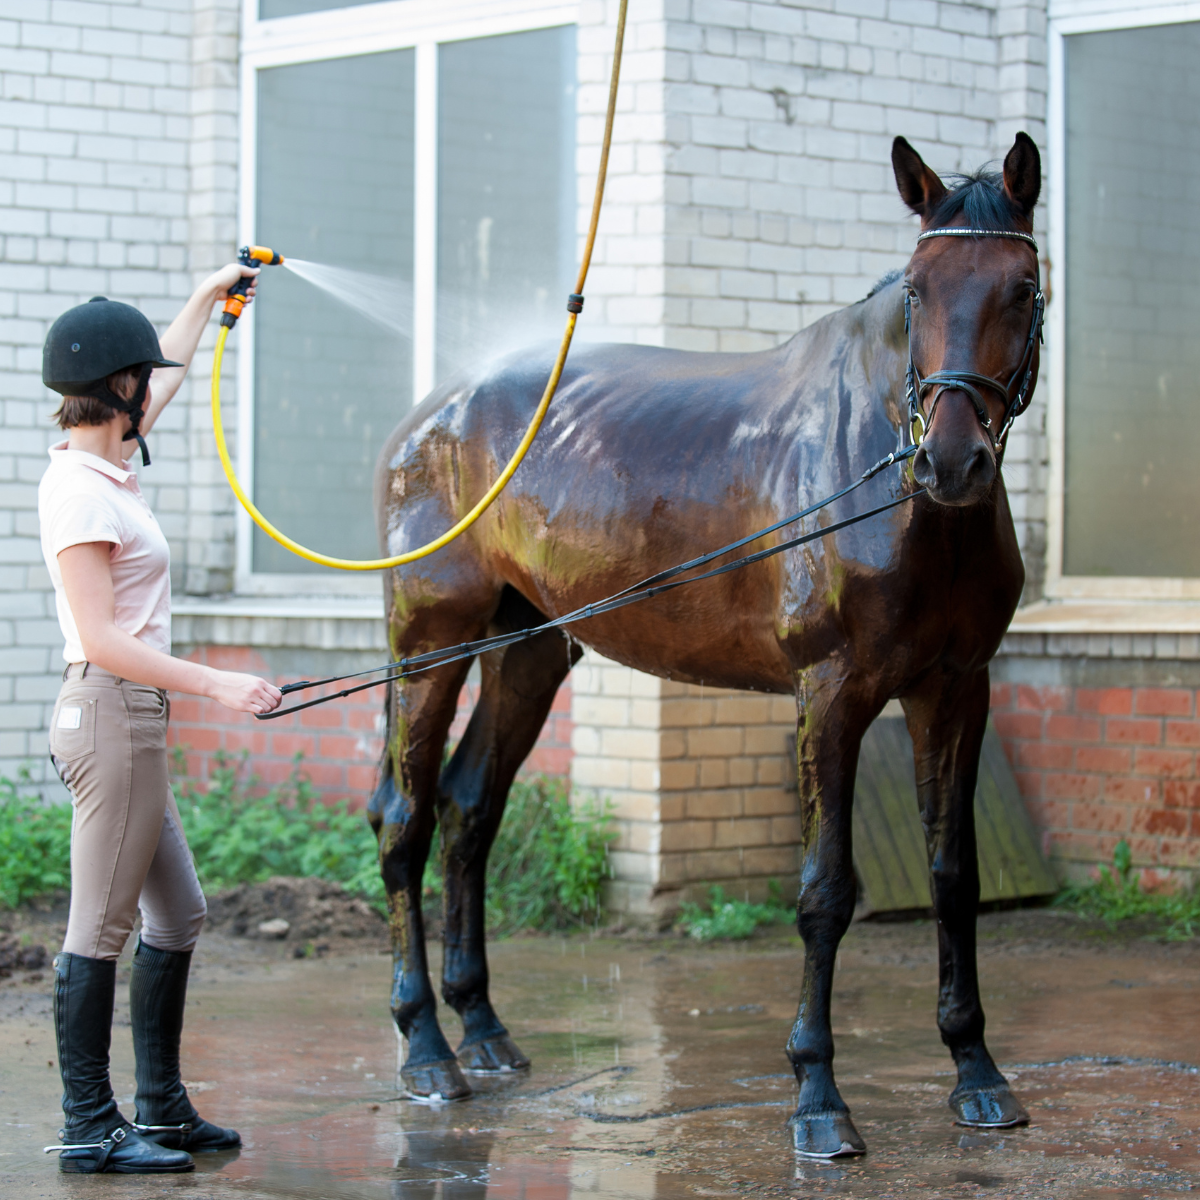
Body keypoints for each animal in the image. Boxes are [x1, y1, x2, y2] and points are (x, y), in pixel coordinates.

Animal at [368, 132, 1043, 1158]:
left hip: (525, 653)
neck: (889, 487)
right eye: (919, 291)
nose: (954, 461)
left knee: (469, 809)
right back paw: (425, 1052)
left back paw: (481, 1031)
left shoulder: (958, 690)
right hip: (429, 648)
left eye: (1023, 286)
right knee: (407, 821)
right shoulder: (831, 693)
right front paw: (818, 1098)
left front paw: (977, 1074)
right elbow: (824, 890)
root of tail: (429, 418)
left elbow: (954, 875)